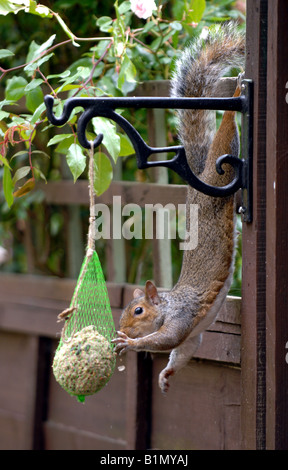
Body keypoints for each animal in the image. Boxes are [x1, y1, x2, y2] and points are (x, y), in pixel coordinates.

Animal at [111, 22, 244, 392]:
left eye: (138, 311)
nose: (123, 329)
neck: (168, 305)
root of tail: (199, 180)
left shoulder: (181, 320)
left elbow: (163, 341)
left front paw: (131, 343)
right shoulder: (191, 336)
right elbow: (182, 352)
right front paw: (166, 376)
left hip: (222, 166)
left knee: (227, 130)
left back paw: (235, 95)